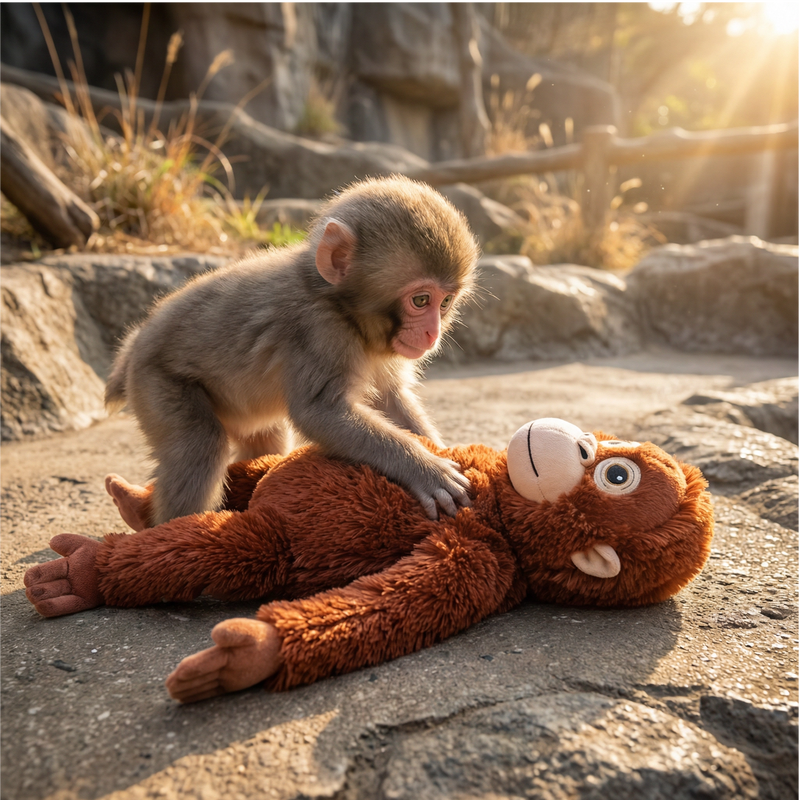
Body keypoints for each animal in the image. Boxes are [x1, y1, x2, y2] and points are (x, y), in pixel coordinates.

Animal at [105, 175, 479, 525]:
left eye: (445, 302)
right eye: (421, 300)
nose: (432, 333)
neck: (339, 306)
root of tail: (137, 343)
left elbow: (389, 398)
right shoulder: (318, 332)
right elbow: (320, 411)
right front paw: (424, 470)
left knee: (263, 441)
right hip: (156, 382)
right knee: (199, 445)